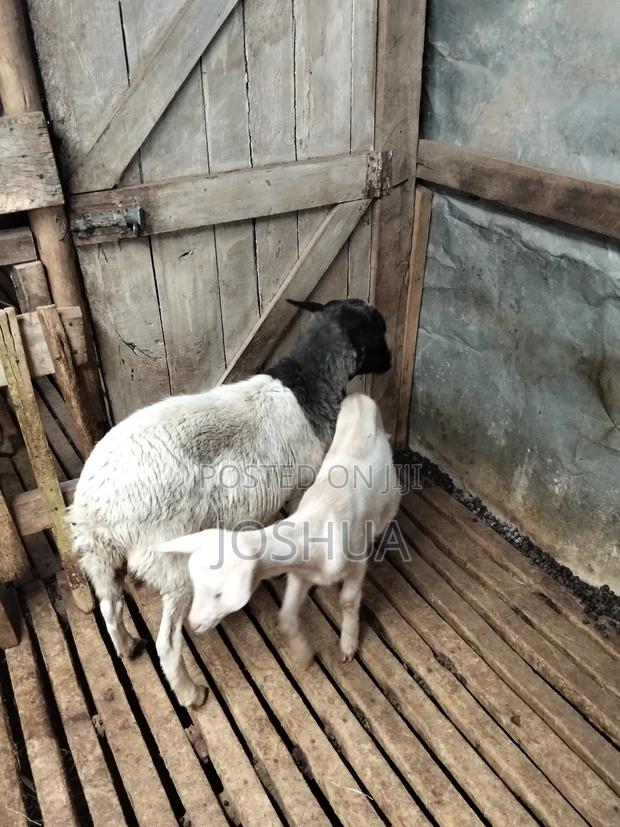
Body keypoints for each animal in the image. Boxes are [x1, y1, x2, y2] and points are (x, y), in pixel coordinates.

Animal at [155, 393, 402, 665]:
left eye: (219, 594)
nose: (194, 624)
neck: (315, 528)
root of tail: (360, 399)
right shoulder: (299, 573)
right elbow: (286, 616)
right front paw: (304, 655)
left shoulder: (356, 564)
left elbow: (348, 601)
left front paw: (348, 645)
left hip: (391, 495)